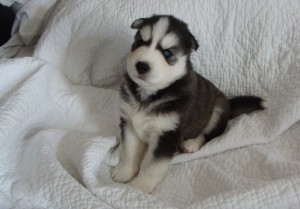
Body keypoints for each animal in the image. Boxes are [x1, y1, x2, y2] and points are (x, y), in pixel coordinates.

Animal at [110, 15, 264, 193]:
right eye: (141, 42)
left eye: (167, 53)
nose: (141, 65)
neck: (149, 93)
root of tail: (230, 103)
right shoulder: (129, 123)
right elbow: (128, 151)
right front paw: (123, 172)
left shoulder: (167, 133)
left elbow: (152, 165)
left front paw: (141, 185)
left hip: (218, 110)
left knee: (208, 134)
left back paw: (191, 144)